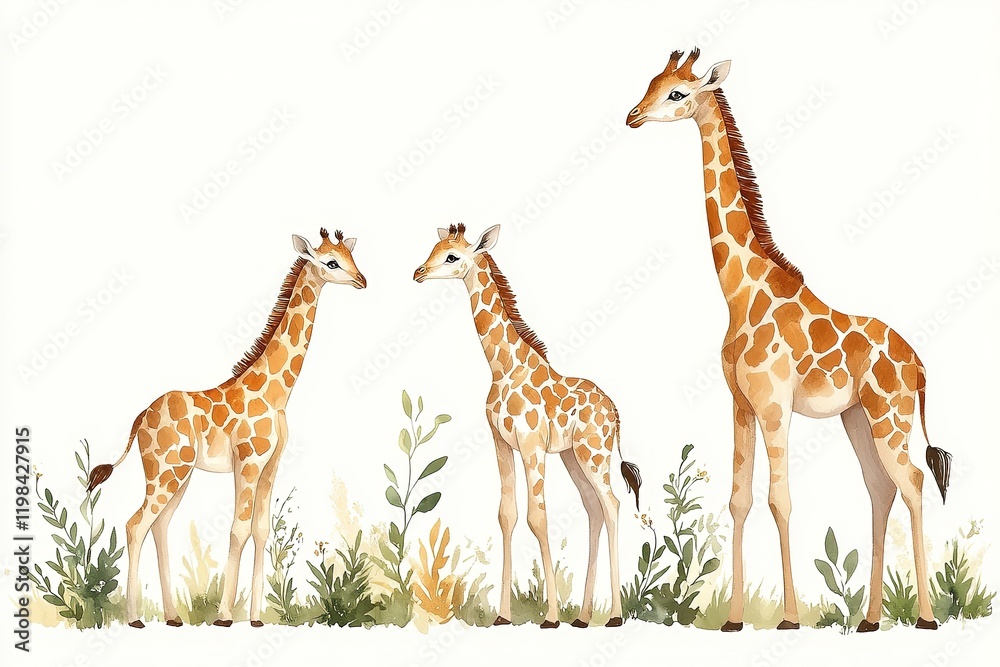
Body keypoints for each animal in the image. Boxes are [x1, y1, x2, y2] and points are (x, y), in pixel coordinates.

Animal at [86, 228, 366, 628]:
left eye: (350, 257)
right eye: (331, 262)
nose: (362, 280)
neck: (277, 392)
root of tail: (140, 417)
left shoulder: (271, 465)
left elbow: (261, 530)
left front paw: (256, 618)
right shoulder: (247, 461)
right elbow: (239, 528)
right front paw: (223, 616)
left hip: (180, 473)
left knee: (159, 525)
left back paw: (172, 616)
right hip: (165, 471)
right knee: (135, 524)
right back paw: (135, 618)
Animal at [413, 224, 642, 628]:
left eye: (452, 256)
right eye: (434, 249)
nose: (418, 272)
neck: (503, 368)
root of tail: (614, 411)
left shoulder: (532, 443)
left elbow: (539, 517)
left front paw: (550, 616)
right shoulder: (501, 442)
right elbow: (507, 515)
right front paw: (503, 615)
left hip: (593, 453)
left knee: (612, 504)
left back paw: (613, 614)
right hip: (572, 456)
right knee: (594, 509)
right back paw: (583, 617)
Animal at [627, 49, 952, 632]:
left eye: (677, 93)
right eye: (651, 83)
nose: (632, 116)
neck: (740, 292)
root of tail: (919, 364)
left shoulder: (775, 403)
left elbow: (780, 498)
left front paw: (790, 617)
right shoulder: (740, 402)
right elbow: (739, 498)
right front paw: (734, 620)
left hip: (889, 416)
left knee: (913, 481)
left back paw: (925, 618)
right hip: (857, 417)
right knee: (881, 487)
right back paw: (870, 620)